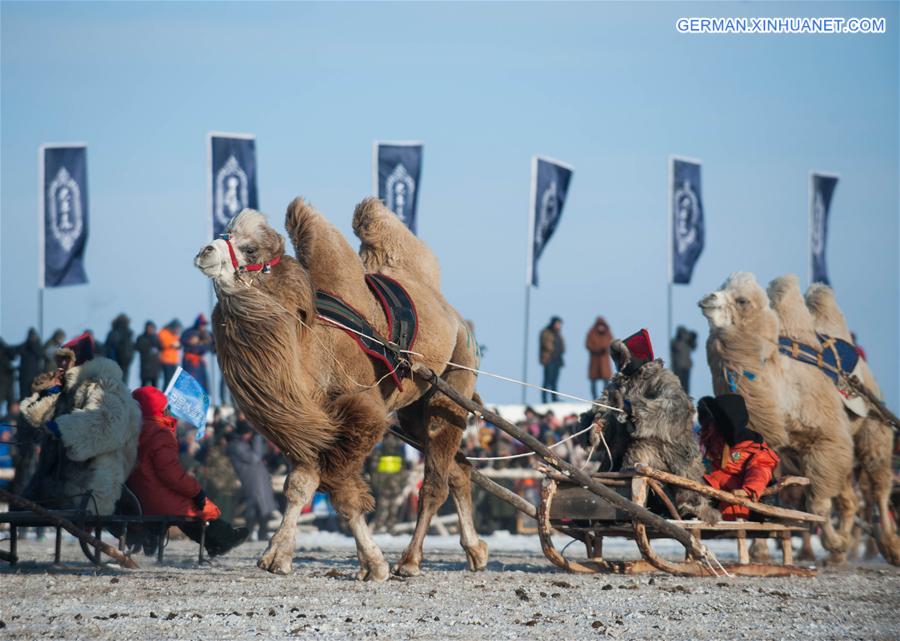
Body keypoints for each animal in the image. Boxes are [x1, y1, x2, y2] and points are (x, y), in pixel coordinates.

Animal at [190, 198, 486, 576]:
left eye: (250, 248)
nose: (205, 252)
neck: (307, 346)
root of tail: (454, 316)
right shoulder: (307, 423)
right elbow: (299, 486)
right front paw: (277, 556)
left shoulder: (361, 413)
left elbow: (340, 489)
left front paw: (374, 564)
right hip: (413, 410)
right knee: (459, 469)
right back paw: (475, 551)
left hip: (455, 375)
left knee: (434, 481)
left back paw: (410, 560)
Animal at [700, 272, 856, 560]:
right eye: (719, 287)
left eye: (742, 300)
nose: (708, 298)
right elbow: (763, 496)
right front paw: (759, 550)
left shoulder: (828, 440)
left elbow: (818, 504)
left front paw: (835, 543)